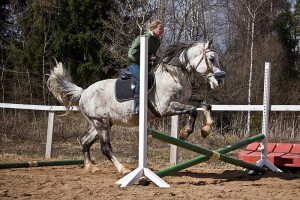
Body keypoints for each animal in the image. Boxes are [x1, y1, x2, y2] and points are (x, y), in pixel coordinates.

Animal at [46, 38, 225, 173]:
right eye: (211, 59)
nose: (219, 81)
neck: (174, 76)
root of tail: (83, 92)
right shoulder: (166, 108)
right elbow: (193, 111)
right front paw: (184, 133)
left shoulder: (184, 100)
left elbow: (205, 105)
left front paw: (206, 128)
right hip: (101, 123)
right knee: (105, 148)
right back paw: (122, 169)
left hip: (102, 124)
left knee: (85, 141)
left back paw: (90, 167)